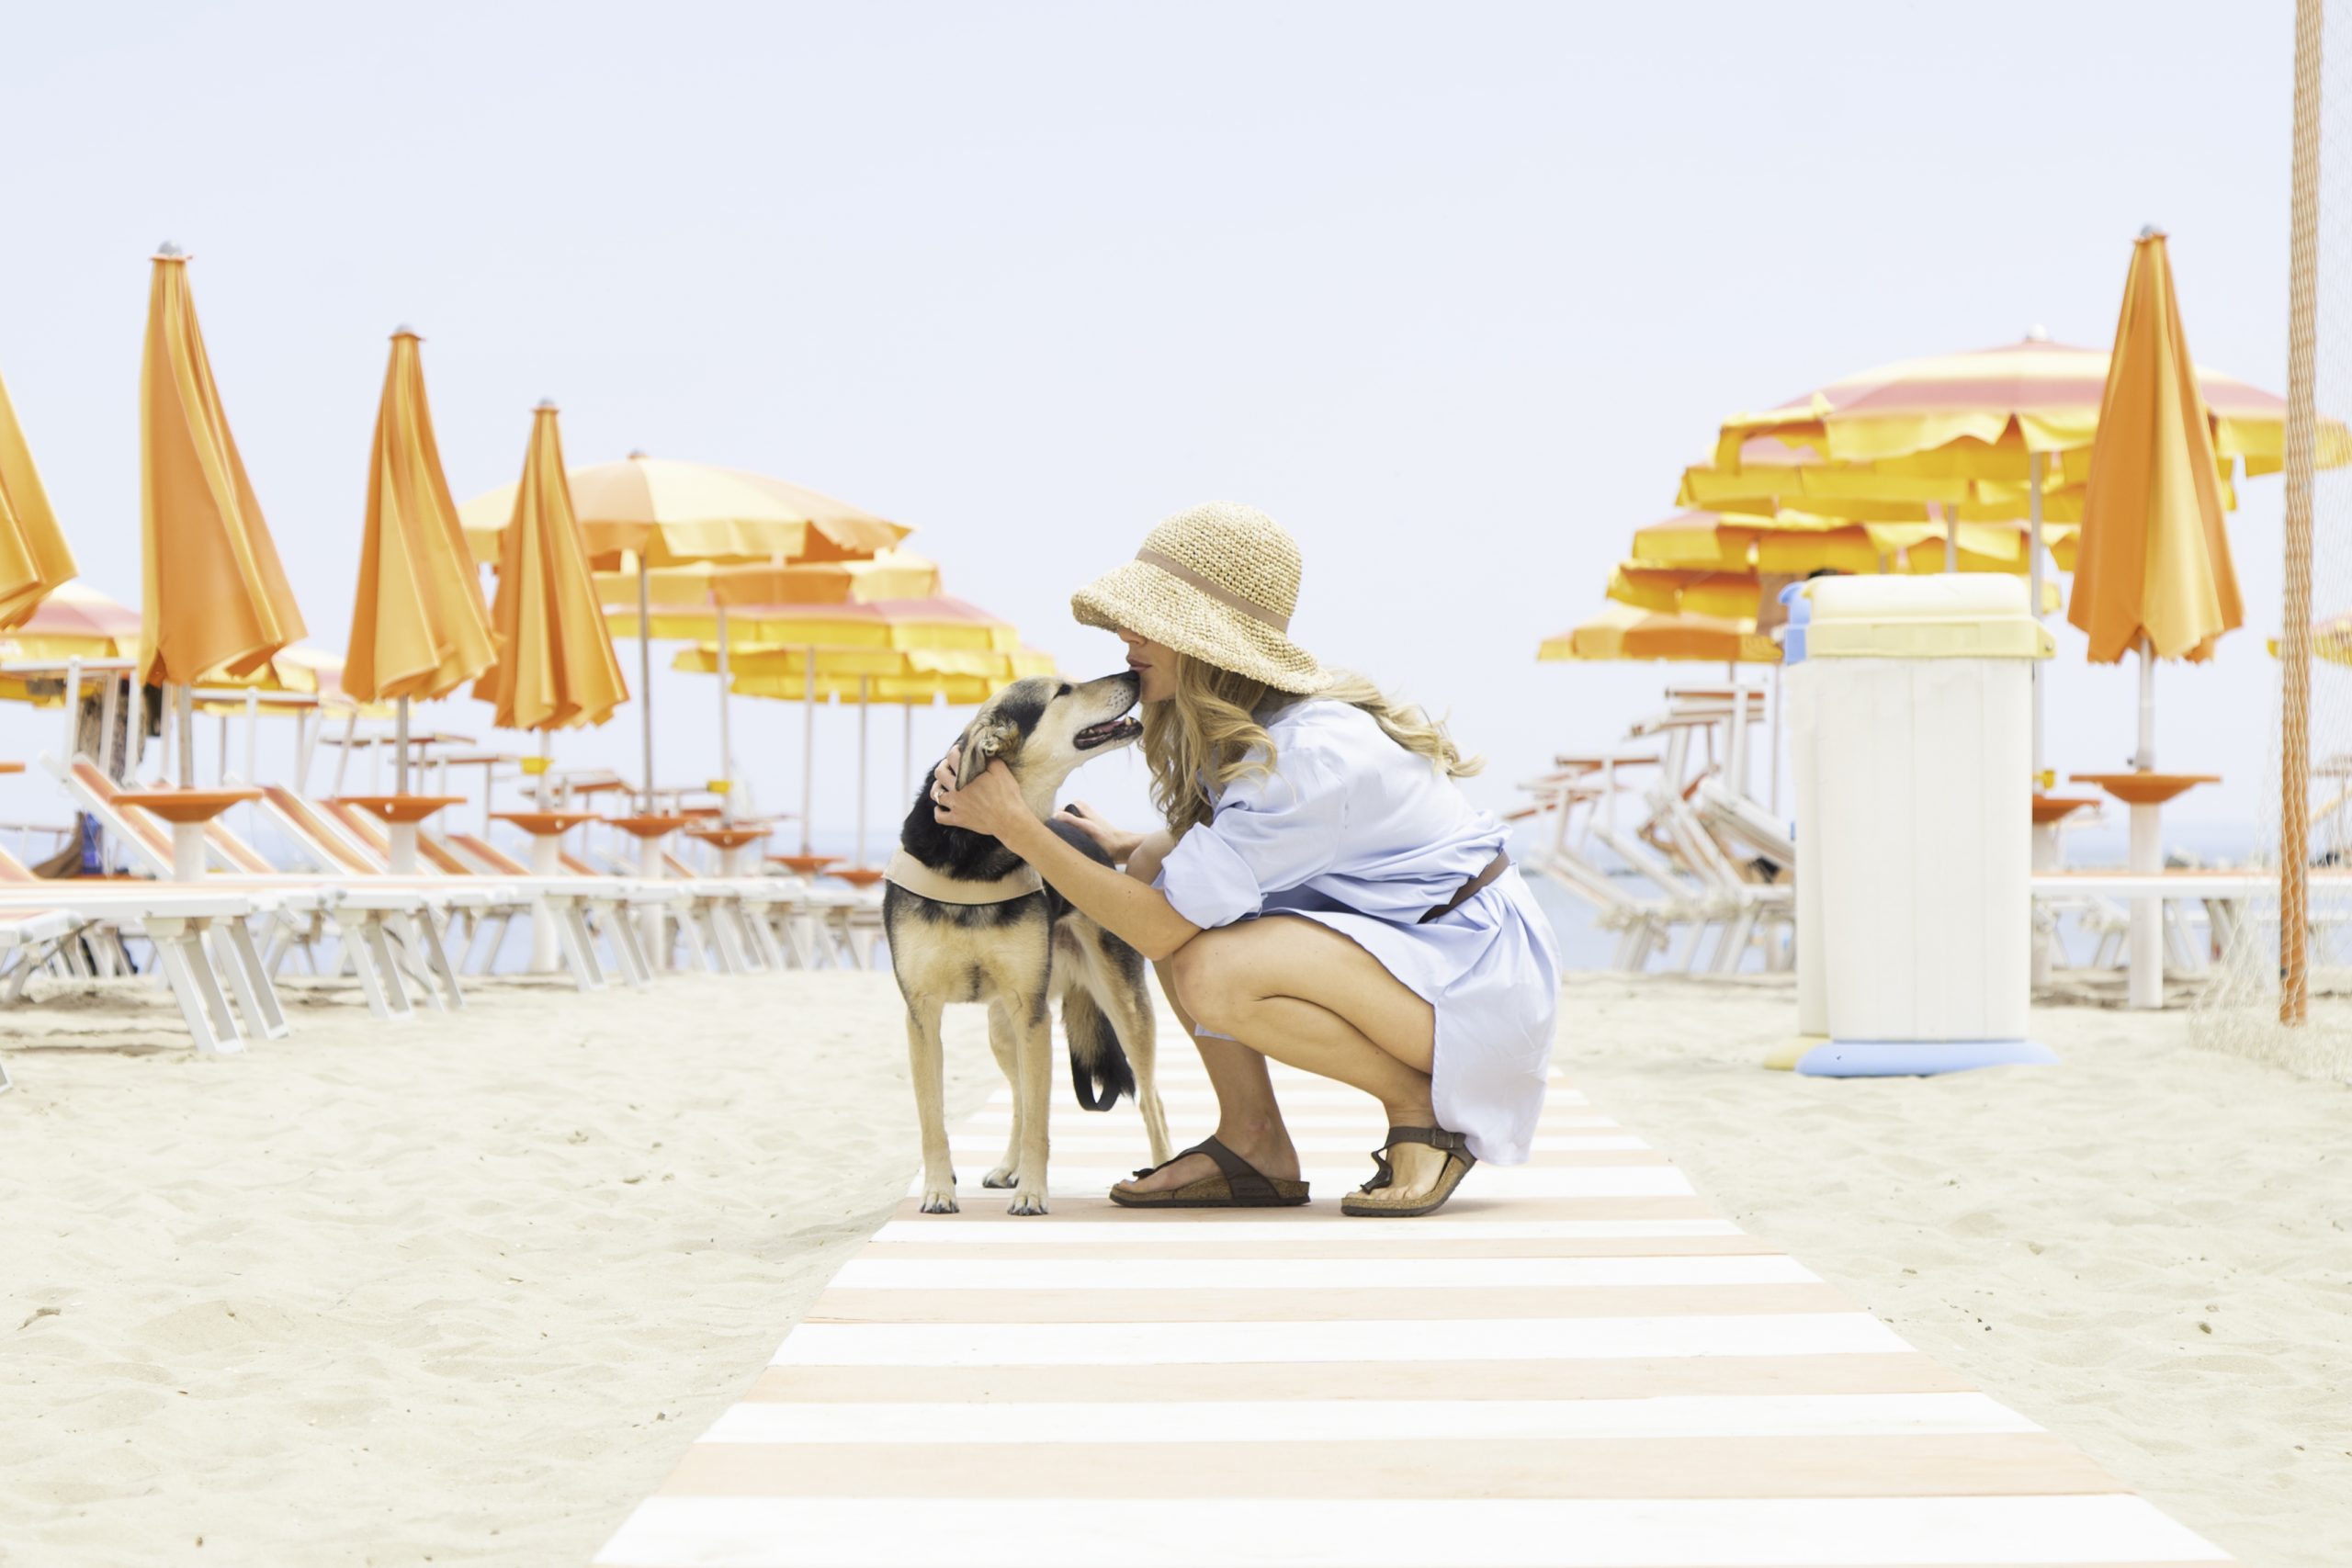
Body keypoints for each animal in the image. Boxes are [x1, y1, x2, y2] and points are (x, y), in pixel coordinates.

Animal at [884, 667, 1176, 1222]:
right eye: (1062, 692)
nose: (1132, 672)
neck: (977, 855)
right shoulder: (921, 1015)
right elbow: (933, 1120)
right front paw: (939, 1190)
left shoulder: (1033, 1012)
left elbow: (1043, 1121)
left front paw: (1033, 1195)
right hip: (1003, 1028)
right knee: (1020, 1094)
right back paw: (1008, 1166)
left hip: (1122, 1007)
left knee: (1151, 1100)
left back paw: (1164, 1172)